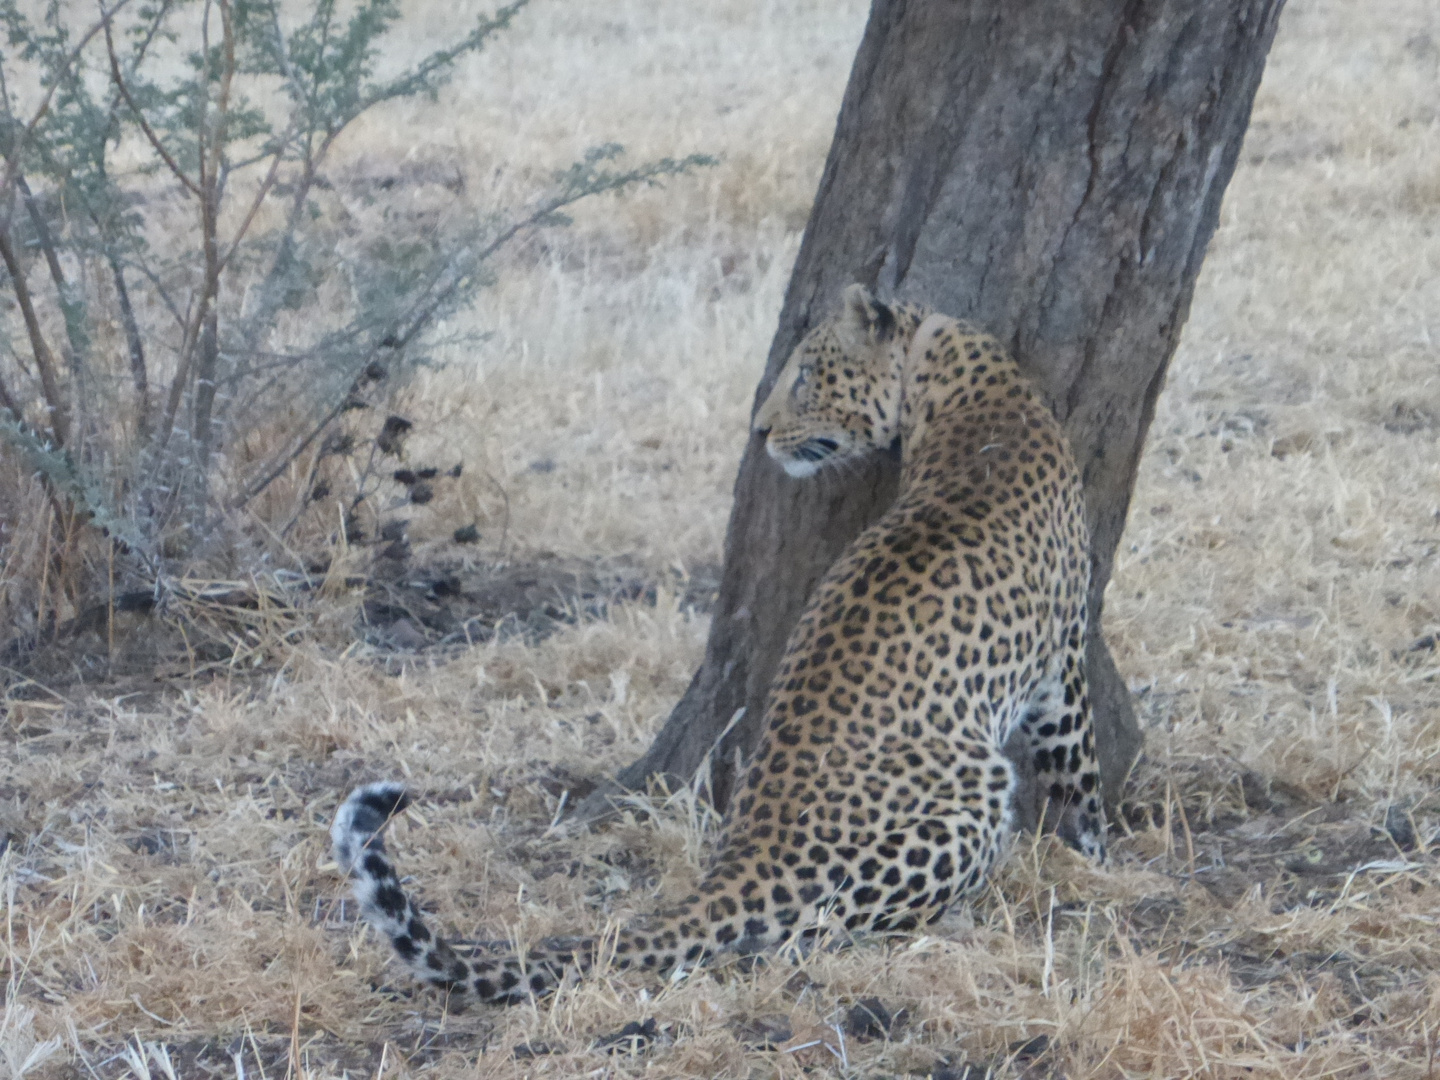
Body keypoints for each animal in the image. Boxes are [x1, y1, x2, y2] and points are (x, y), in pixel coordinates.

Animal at [331, 280, 1105, 1008]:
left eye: (806, 374)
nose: (758, 430)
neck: (956, 380)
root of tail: (747, 857)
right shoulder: (1064, 662)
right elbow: (1082, 774)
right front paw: (1105, 859)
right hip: (974, 796)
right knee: (812, 928)